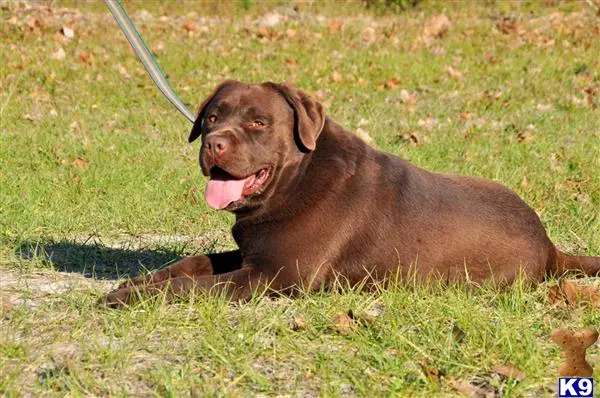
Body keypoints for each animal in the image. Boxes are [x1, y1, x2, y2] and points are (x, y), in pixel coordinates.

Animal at [104, 79, 600, 306]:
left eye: (258, 122)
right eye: (211, 118)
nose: (214, 144)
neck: (294, 181)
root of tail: (550, 247)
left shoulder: (274, 276)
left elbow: (195, 285)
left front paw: (127, 296)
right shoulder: (252, 253)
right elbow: (190, 264)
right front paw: (135, 282)